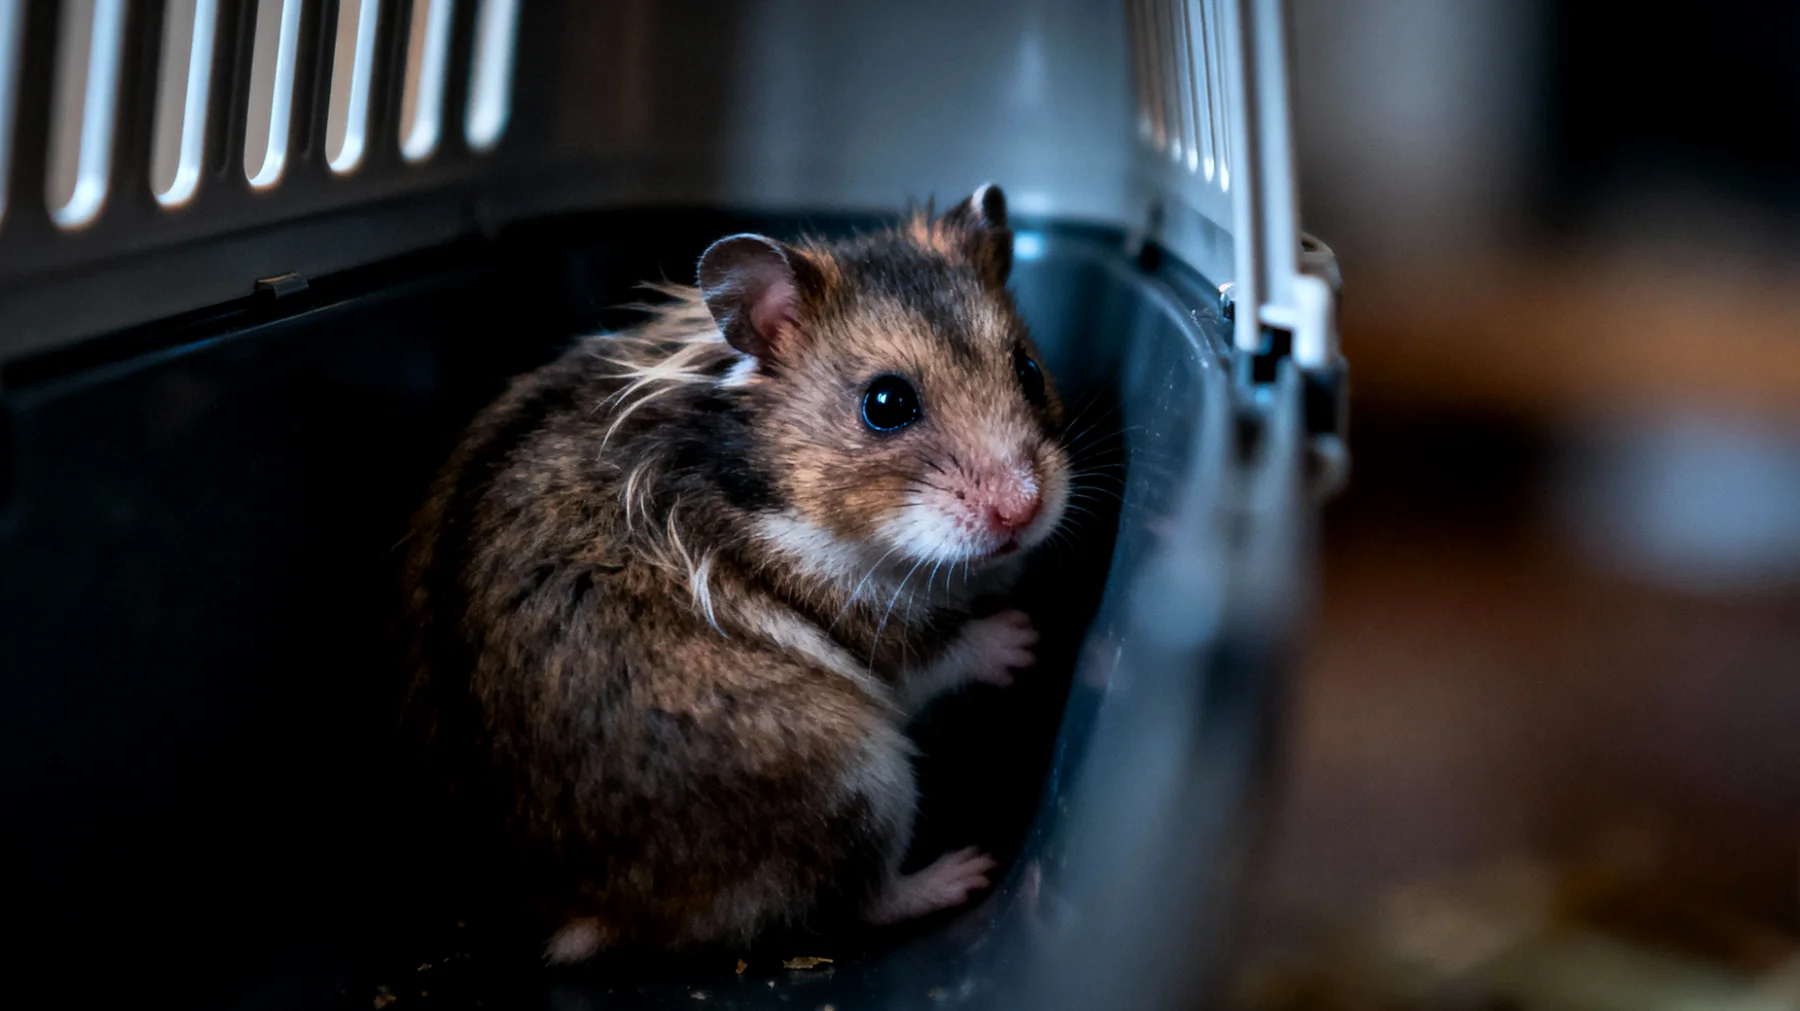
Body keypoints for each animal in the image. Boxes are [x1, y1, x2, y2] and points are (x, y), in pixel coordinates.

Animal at [400, 184, 1070, 962]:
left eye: (1029, 370)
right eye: (886, 404)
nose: (1024, 510)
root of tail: (586, 912)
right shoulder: (866, 622)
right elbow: (942, 647)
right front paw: (1023, 638)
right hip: (857, 777)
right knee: (853, 901)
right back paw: (963, 871)